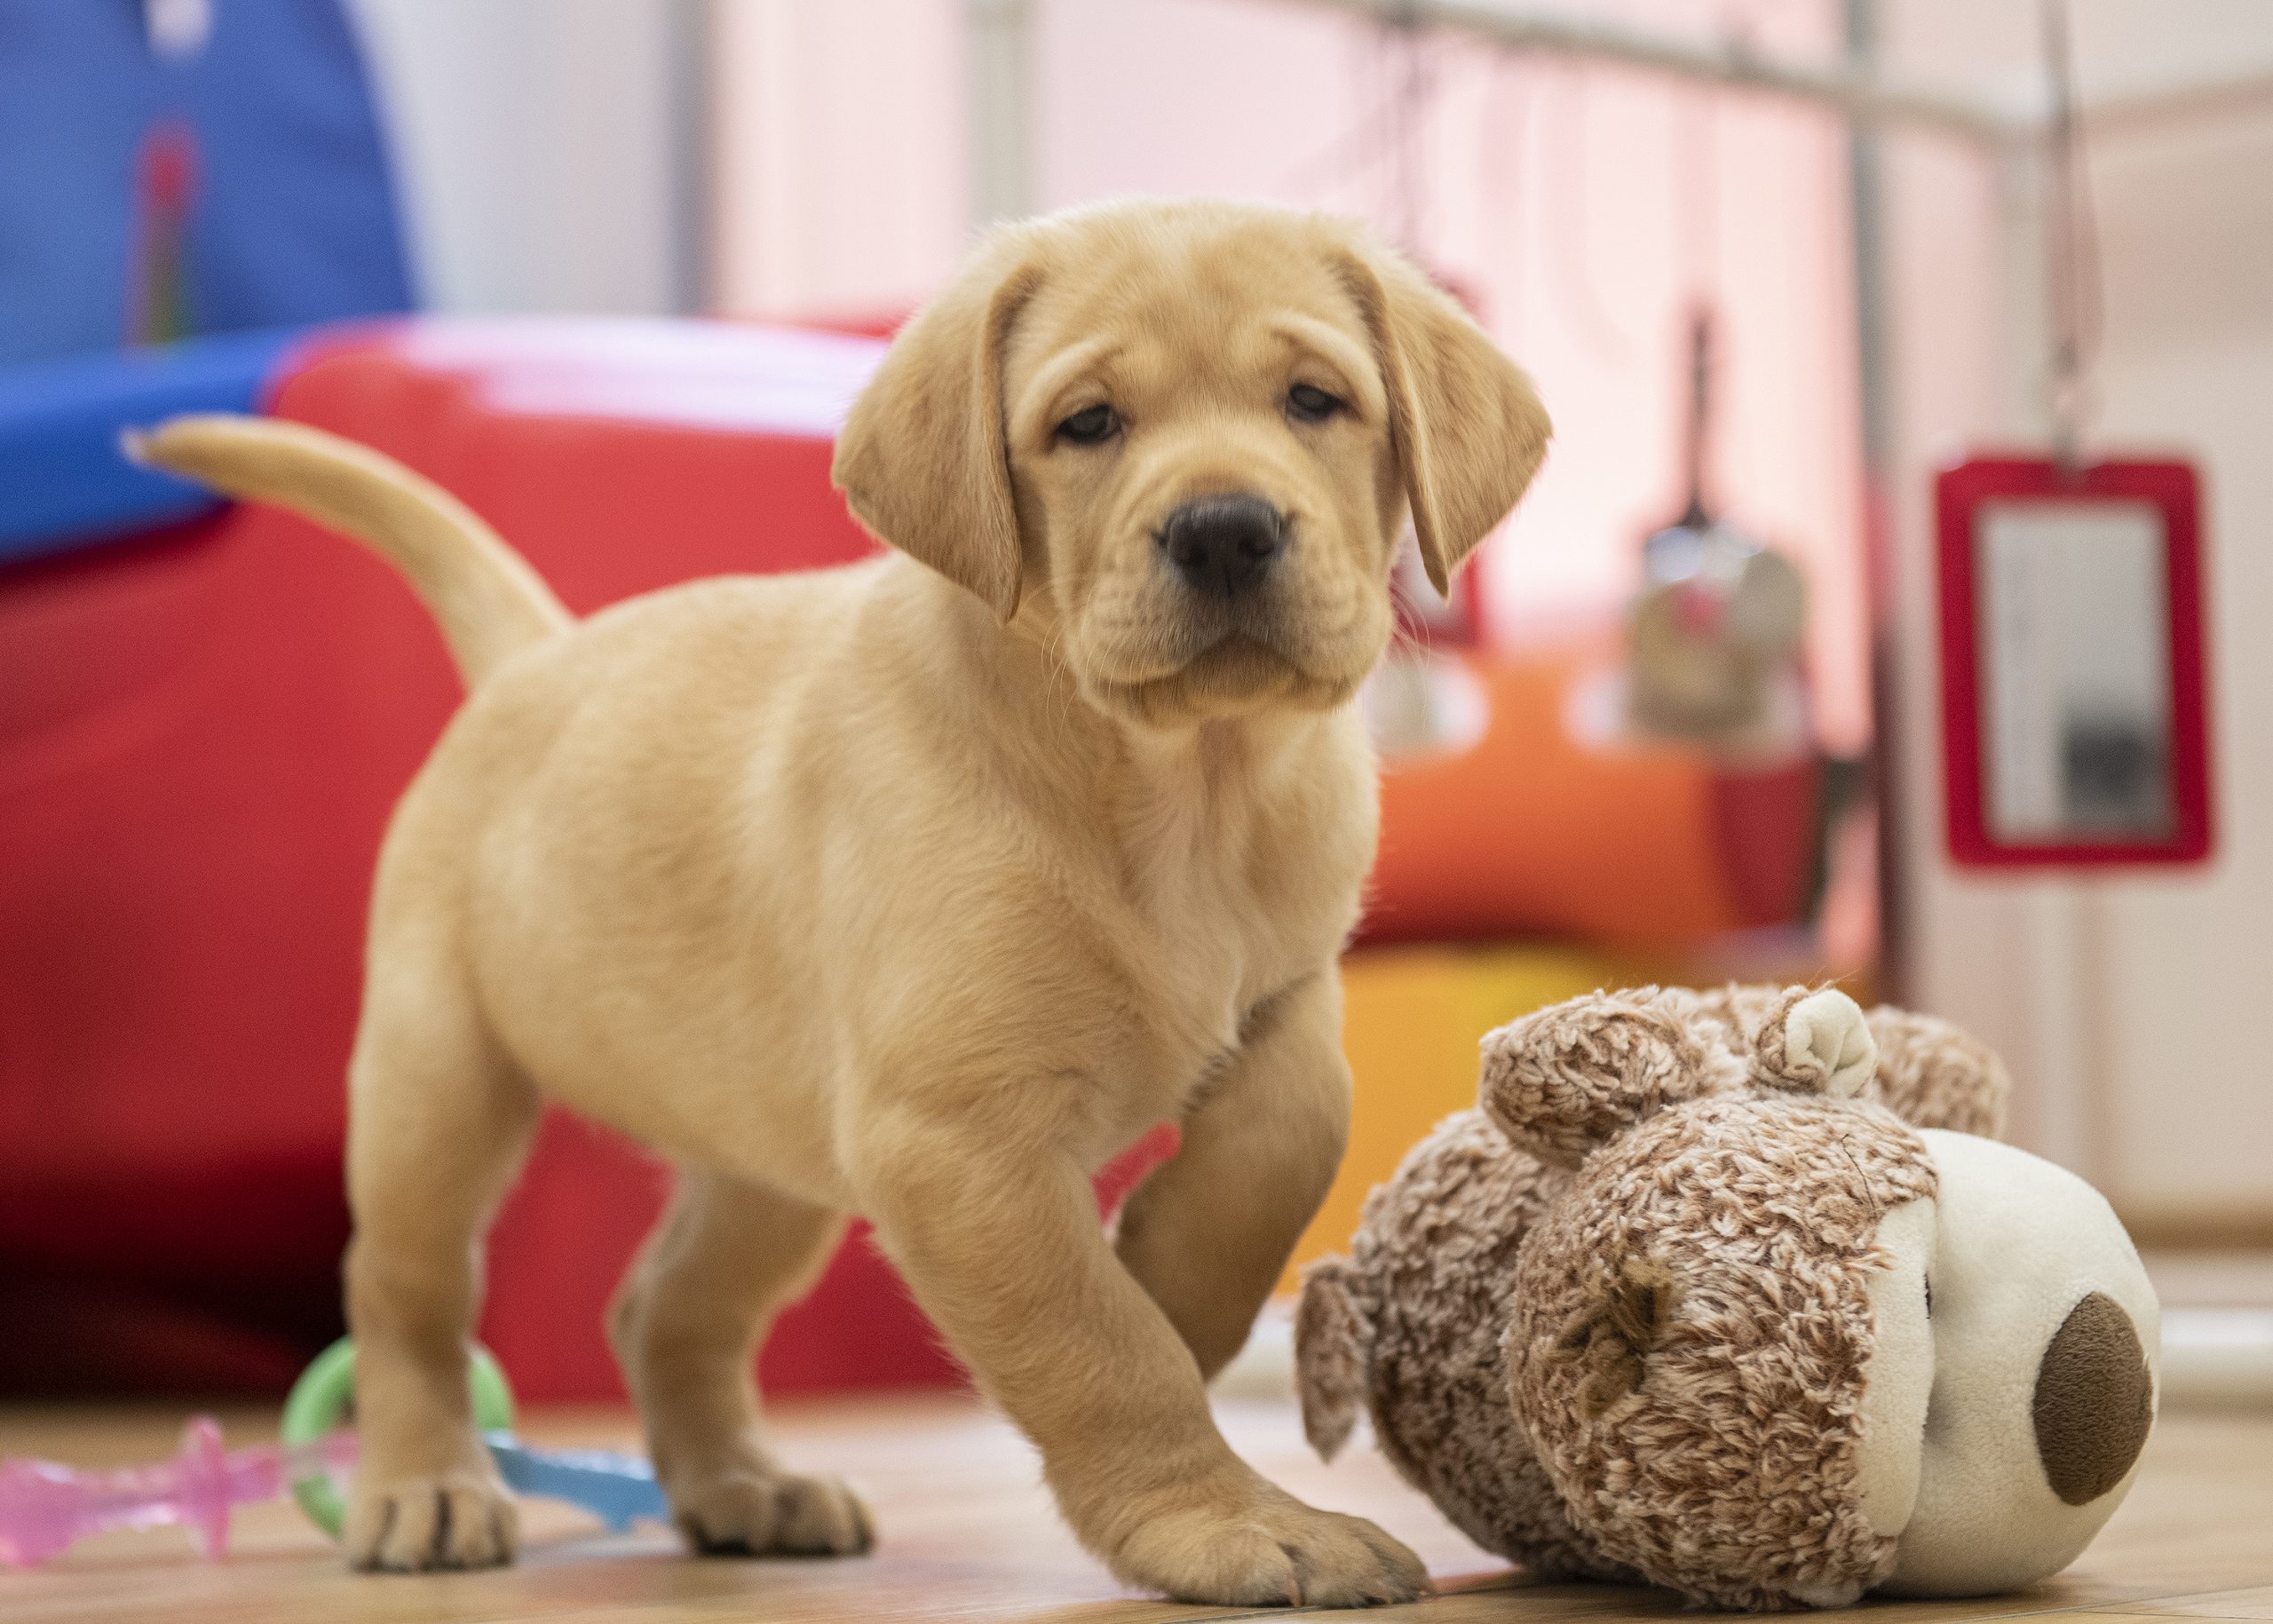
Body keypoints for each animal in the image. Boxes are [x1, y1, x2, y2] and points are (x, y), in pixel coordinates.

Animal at [137, 195, 1545, 1601]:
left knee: (666, 1306)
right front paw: (1222, 1515)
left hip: (773, 1153)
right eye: (1088, 423)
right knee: (405, 1295)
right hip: (438, 1078)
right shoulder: (952, 1134)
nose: (1225, 528)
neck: (1178, 783)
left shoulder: (1284, 993)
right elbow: (1099, 1347)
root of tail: (540, 655)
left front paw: (1172, 1277)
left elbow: (1288, 1137)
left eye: (1314, 399)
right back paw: (426, 1485)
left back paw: (743, 1487)